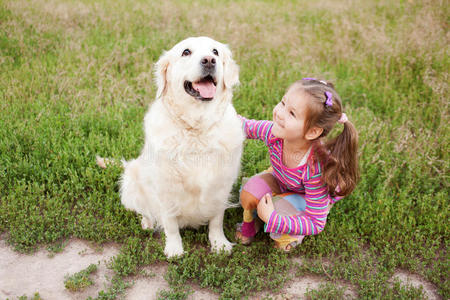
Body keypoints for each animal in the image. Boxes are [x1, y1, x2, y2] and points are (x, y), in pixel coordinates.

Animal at [119, 37, 244, 258]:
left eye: (215, 51)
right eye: (186, 52)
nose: (209, 60)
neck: (196, 129)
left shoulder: (221, 183)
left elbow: (216, 219)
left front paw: (219, 243)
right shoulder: (165, 186)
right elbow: (170, 223)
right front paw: (174, 248)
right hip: (131, 180)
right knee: (143, 209)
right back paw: (147, 222)